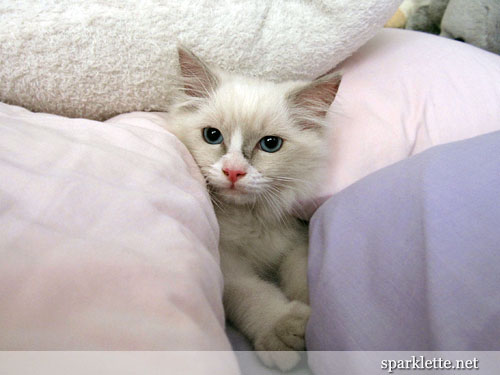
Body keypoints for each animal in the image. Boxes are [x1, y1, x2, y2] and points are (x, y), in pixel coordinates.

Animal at [166, 46, 342, 370]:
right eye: (212, 136)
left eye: (270, 144)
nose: (234, 172)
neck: (251, 218)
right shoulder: (227, 263)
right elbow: (252, 293)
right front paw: (283, 328)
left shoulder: (297, 239)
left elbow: (300, 274)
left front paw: (312, 313)